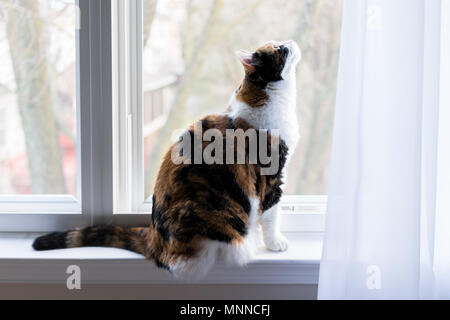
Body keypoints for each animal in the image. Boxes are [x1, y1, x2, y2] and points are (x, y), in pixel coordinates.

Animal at [34, 40, 302, 280]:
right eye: (278, 48)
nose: (290, 41)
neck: (265, 99)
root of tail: (153, 236)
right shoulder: (271, 178)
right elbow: (272, 214)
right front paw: (275, 242)